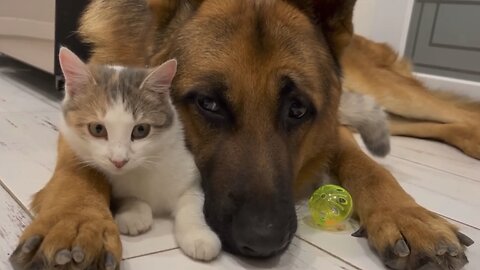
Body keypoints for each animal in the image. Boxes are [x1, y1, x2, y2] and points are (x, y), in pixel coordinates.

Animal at [58, 48, 221, 262]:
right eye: (97, 129)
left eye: (141, 130)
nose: (119, 160)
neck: (142, 168)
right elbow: (126, 196)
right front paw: (135, 213)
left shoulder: (189, 174)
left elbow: (192, 203)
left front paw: (199, 236)